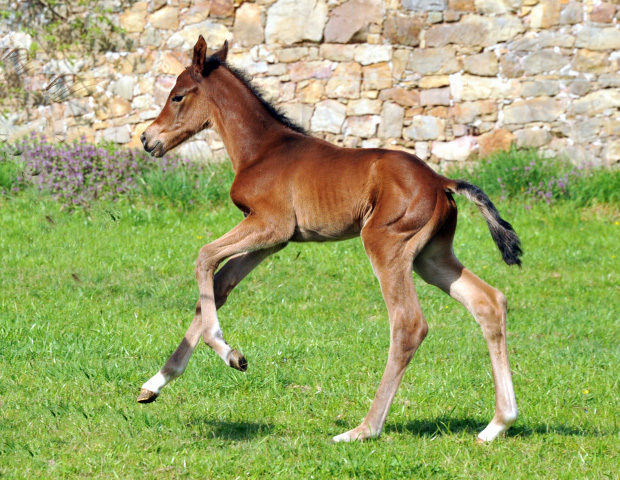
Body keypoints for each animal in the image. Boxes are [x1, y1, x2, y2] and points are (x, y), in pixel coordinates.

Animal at [138, 35, 520, 444]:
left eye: (177, 96)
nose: (147, 138)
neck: (262, 150)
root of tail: (440, 181)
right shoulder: (273, 240)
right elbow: (219, 284)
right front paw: (154, 384)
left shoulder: (270, 224)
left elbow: (204, 257)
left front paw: (230, 355)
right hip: (431, 257)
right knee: (489, 302)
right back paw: (497, 423)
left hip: (386, 244)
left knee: (408, 325)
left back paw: (363, 429)